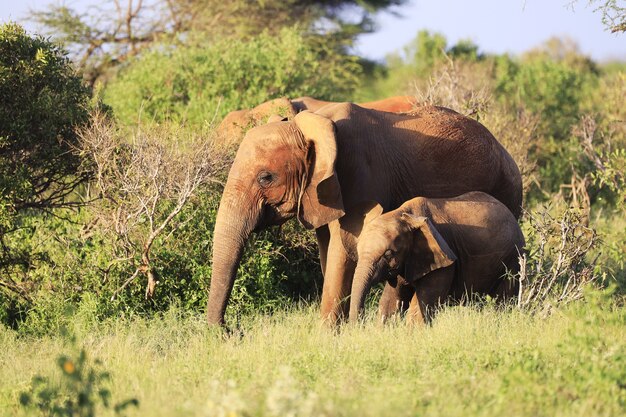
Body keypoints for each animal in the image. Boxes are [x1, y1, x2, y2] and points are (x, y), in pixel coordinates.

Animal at [348, 190, 524, 324]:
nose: (360, 324)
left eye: (388, 253)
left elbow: (420, 306)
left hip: (513, 259)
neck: (404, 215)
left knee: (504, 301)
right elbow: (390, 302)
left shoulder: (445, 259)